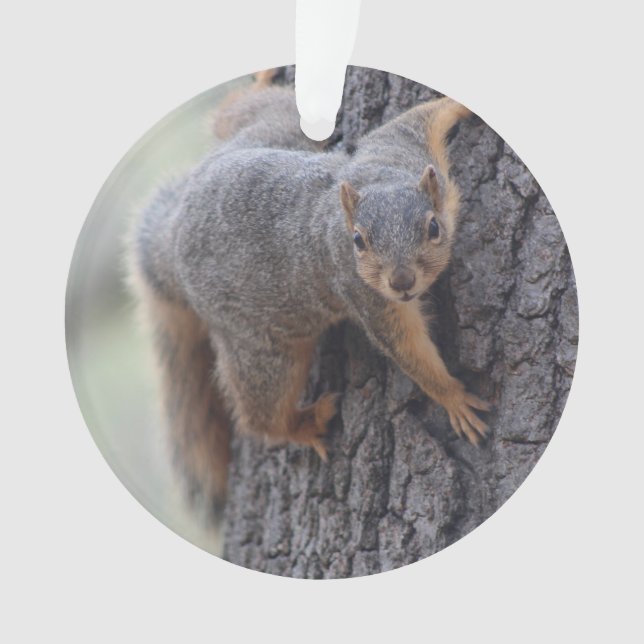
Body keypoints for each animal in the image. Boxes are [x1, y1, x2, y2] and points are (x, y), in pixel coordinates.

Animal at [128, 72, 490, 511]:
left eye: (433, 227)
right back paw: (302, 424)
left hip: (274, 129)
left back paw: (259, 83)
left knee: (238, 111)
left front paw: (461, 102)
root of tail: (174, 237)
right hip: (263, 350)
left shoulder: (401, 146)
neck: (380, 179)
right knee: (261, 414)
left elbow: (422, 116)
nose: (401, 282)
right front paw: (452, 397)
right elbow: (408, 349)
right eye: (358, 241)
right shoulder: (366, 295)